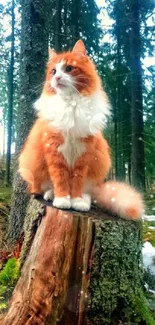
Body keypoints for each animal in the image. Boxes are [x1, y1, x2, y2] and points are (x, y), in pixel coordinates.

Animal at [18, 39, 144, 219]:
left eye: (69, 69)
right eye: (53, 71)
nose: (57, 77)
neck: (71, 104)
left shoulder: (83, 154)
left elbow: (77, 181)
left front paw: (76, 201)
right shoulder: (55, 151)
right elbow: (60, 179)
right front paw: (63, 199)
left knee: (89, 193)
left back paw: (83, 201)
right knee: (45, 187)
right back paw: (51, 195)